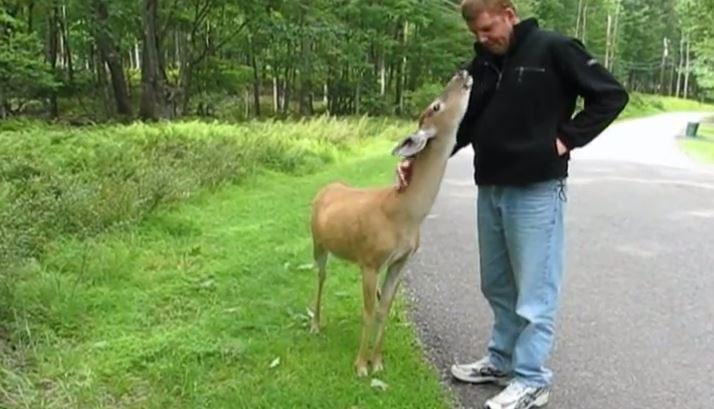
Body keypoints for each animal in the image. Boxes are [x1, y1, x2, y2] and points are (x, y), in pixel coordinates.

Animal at [308, 70, 470, 376]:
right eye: (435, 106)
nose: (462, 73)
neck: (404, 215)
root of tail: (325, 188)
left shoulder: (399, 261)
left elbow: (384, 307)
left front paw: (378, 362)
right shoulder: (371, 260)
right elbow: (369, 311)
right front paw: (361, 365)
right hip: (317, 241)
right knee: (320, 276)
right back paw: (315, 323)